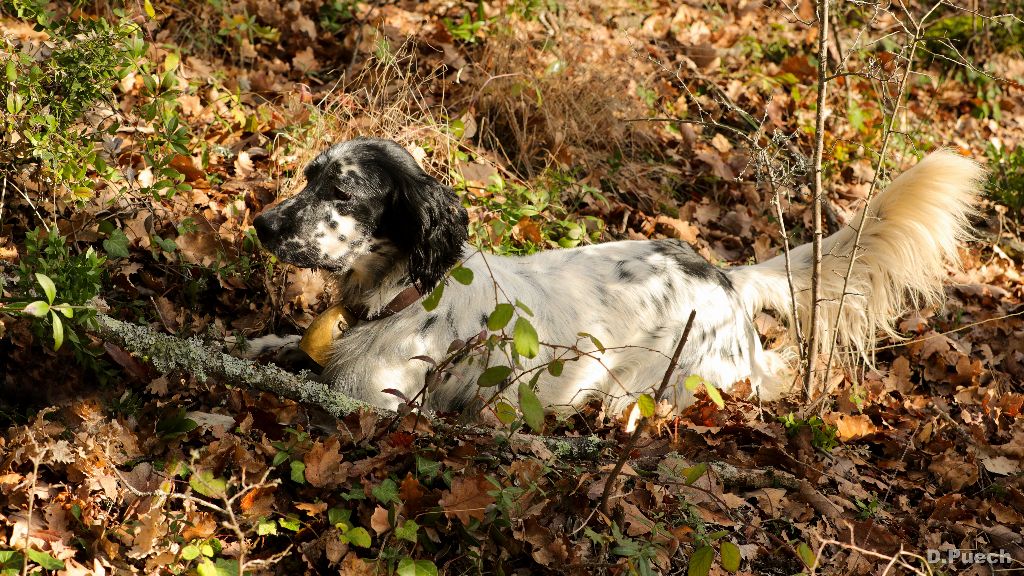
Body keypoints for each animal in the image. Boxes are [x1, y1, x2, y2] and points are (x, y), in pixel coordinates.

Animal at [249, 138, 983, 414]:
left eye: (341, 193)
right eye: (309, 176)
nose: (261, 223)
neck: (400, 293)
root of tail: (723, 276)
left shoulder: (379, 402)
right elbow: (276, 349)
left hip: (665, 384)